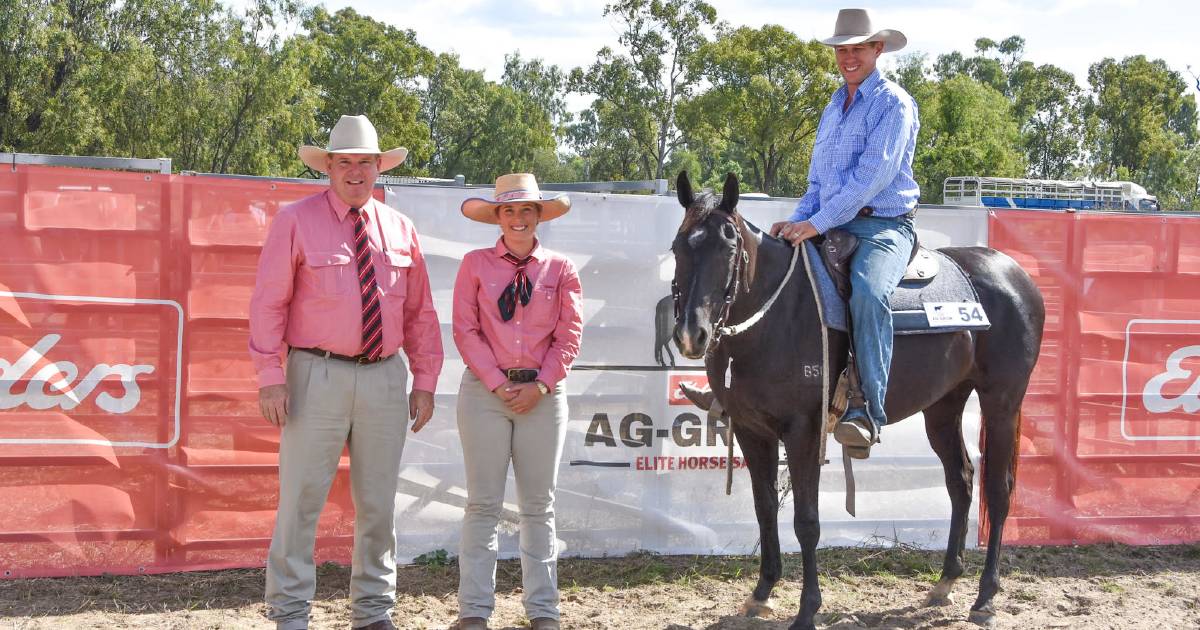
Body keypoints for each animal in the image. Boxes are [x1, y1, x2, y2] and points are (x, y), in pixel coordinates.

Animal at [672, 171, 1046, 628]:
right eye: (678, 247)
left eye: (728, 248)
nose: (692, 334)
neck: (773, 316)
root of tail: (1014, 273)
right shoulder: (750, 429)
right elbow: (765, 508)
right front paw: (761, 593)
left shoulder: (803, 430)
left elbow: (807, 521)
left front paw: (807, 609)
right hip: (943, 406)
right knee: (961, 480)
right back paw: (945, 582)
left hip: (1002, 401)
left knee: (999, 488)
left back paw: (986, 596)